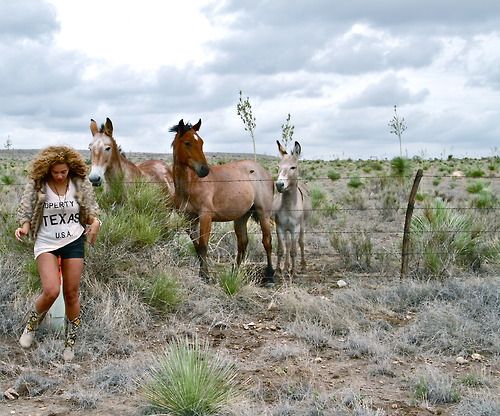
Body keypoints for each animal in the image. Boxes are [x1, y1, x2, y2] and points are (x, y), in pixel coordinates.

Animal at [170, 118, 276, 286]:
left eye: (201, 142)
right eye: (187, 143)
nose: (204, 170)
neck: (190, 184)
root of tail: (264, 172)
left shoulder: (205, 217)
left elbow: (203, 246)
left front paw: (206, 276)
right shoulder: (188, 219)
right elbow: (197, 246)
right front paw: (203, 274)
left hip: (263, 213)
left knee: (267, 241)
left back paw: (270, 276)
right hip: (241, 217)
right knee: (242, 243)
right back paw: (235, 273)